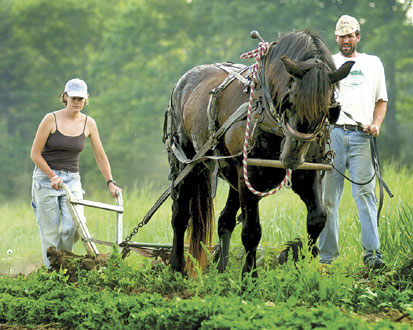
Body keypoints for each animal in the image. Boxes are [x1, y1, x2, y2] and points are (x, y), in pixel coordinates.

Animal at [164, 29, 354, 276]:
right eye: (290, 100)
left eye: (328, 109)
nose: (291, 158)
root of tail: (182, 82)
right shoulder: (249, 175)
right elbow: (252, 230)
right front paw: (249, 276)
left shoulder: (308, 173)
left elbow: (317, 219)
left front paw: (302, 264)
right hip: (187, 164)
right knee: (180, 215)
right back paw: (176, 267)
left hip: (232, 174)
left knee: (224, 221)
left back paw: (222, 269)